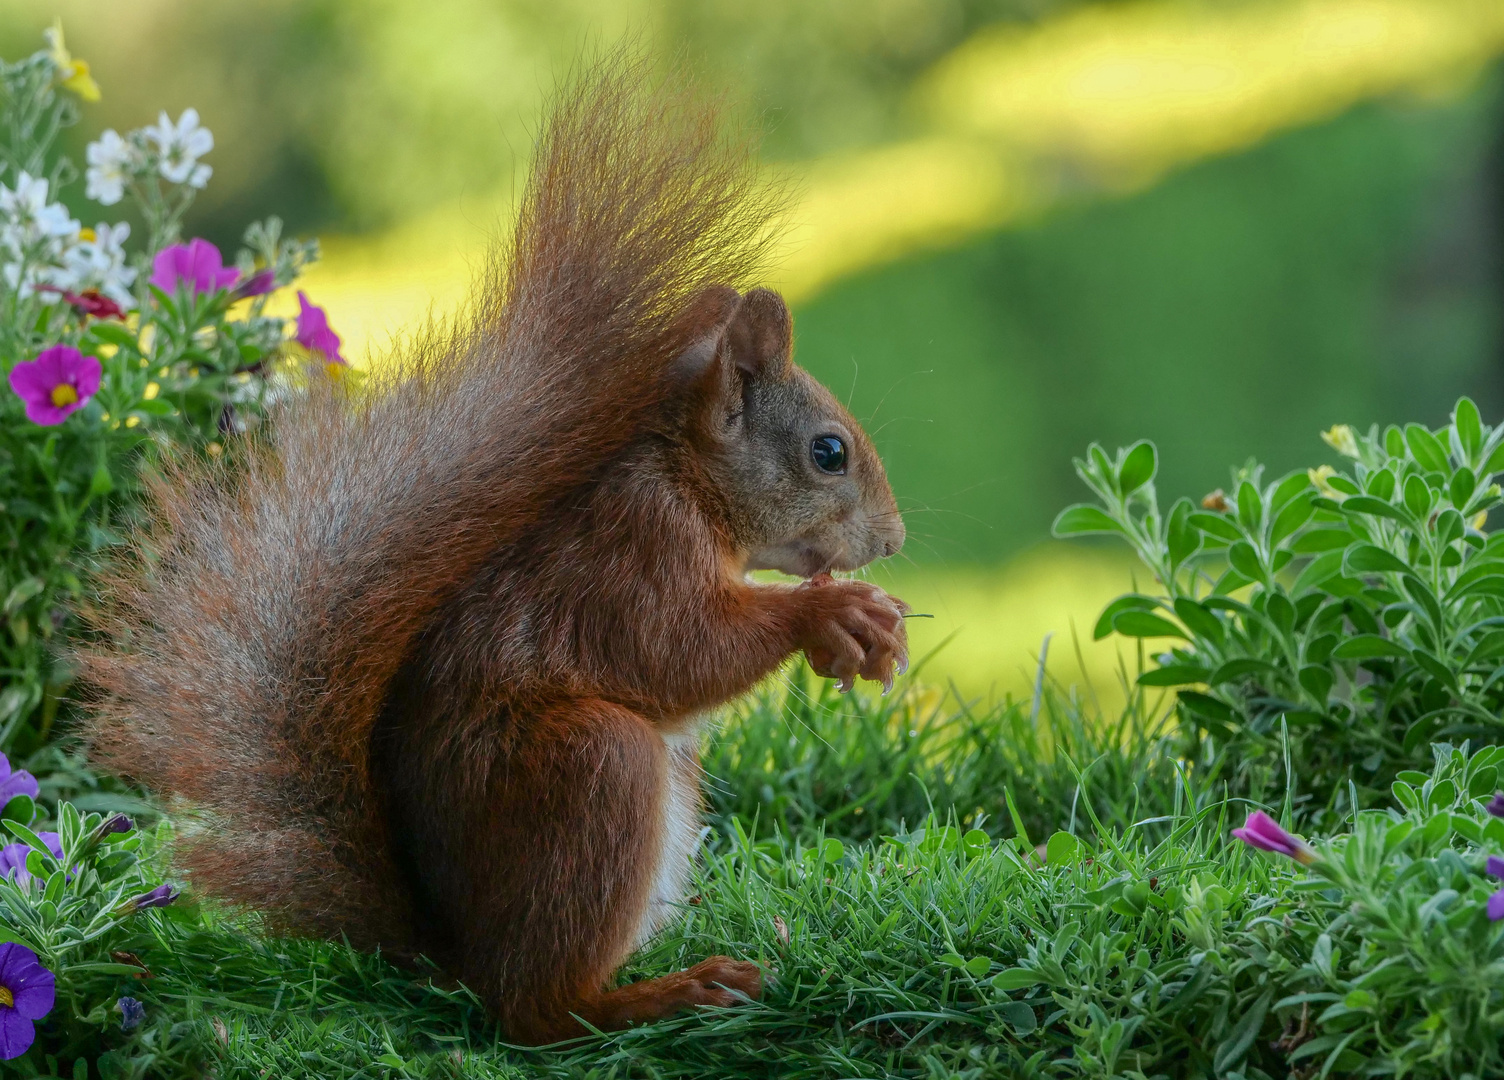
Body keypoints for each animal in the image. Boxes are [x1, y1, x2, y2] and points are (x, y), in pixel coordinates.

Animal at [82, 54, 908, 1046]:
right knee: (539, 1010)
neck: (687, 485)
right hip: (590, 771)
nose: (895, 538)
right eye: (829, 453)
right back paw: (659, 995)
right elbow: (675, 651)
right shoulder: (631, 552)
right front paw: (836, 614)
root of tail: (454, 950)